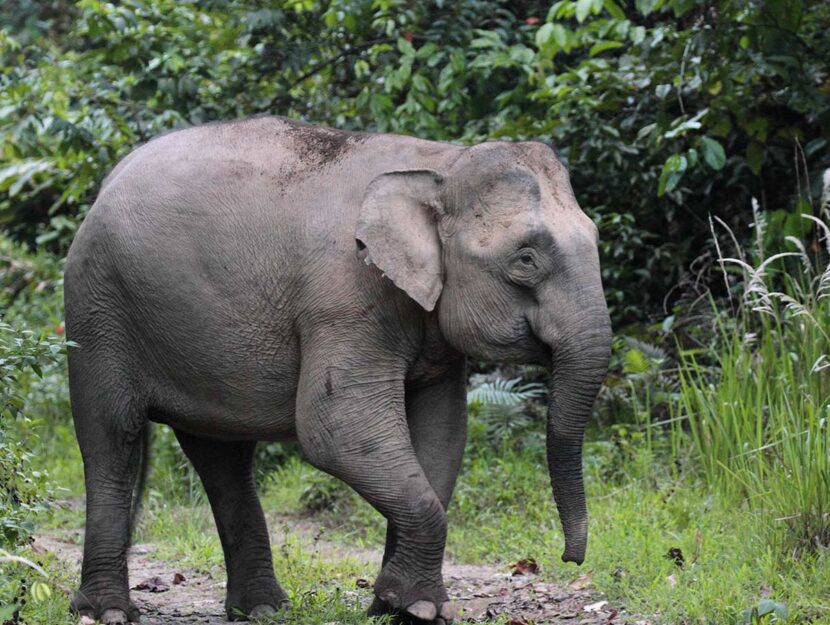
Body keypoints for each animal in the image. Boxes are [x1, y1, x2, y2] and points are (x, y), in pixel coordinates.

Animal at [65, 118, 616, 624]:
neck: (440, 165)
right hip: (97, 308)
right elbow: (336, 430)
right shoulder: (347, 296)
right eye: (526, 259)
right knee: (111, 439)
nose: (568, 558)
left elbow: (441, 435)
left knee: (222, 456)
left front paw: (397, 607)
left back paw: (261, 610)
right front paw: (416, 608)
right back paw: (107, 612)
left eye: (595, 237)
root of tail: (110, 180)